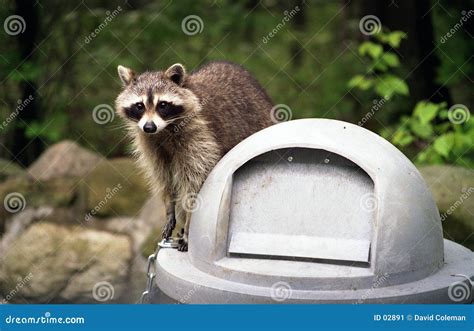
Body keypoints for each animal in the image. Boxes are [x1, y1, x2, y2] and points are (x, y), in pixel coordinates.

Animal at [113, 61, 274, 252]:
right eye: (139, 106)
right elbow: (164, 178)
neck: (164, 130)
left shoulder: (199, 137)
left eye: (162, 105)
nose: (149, 127)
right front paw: (169, 207)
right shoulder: (151, 144)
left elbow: (195, 185)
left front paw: (190, 225)